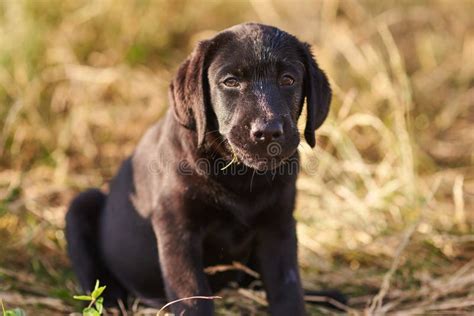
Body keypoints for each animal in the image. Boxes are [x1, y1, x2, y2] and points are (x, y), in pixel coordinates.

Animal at [65, 23, 334, 314]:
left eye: (288, 79)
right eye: (230, 82)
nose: (268, 131)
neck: (240, 176)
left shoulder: (279, 227)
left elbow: (287, 289)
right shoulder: (178, 231)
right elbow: (192, 294)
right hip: (81, 205)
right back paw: (113, 302)